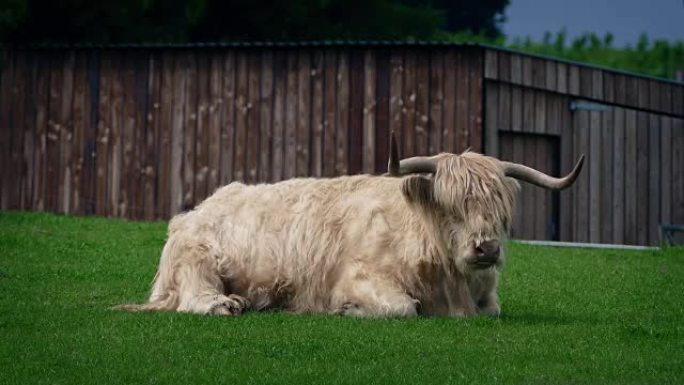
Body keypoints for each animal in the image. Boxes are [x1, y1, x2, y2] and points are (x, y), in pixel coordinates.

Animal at [117, 135, 584, 318]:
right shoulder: (362, 278)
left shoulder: (486, 301)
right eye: (452, 205)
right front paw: (348, 309)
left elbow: (493, 309)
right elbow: (403, 308)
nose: (486, 249)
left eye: (500, 207)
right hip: (198, 261)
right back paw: (225, 304)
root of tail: (192, 212)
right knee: (194, 298)